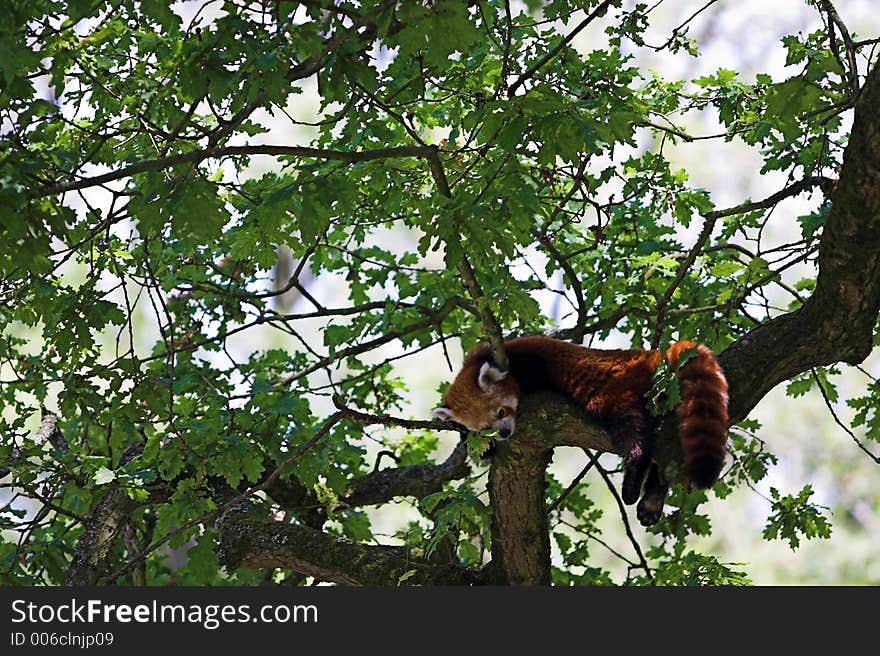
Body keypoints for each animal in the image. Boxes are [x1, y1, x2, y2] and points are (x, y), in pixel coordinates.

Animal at [434, 338, 728, 524]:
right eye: (485, 428)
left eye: (501, 413)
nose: (505, 433)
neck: (480, 360)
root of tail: (647, 355)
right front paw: (479, 446)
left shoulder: (528, 361)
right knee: (664, 453)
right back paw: (653, 499)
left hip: (620, 393)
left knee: (636, 435)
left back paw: (633, 481)